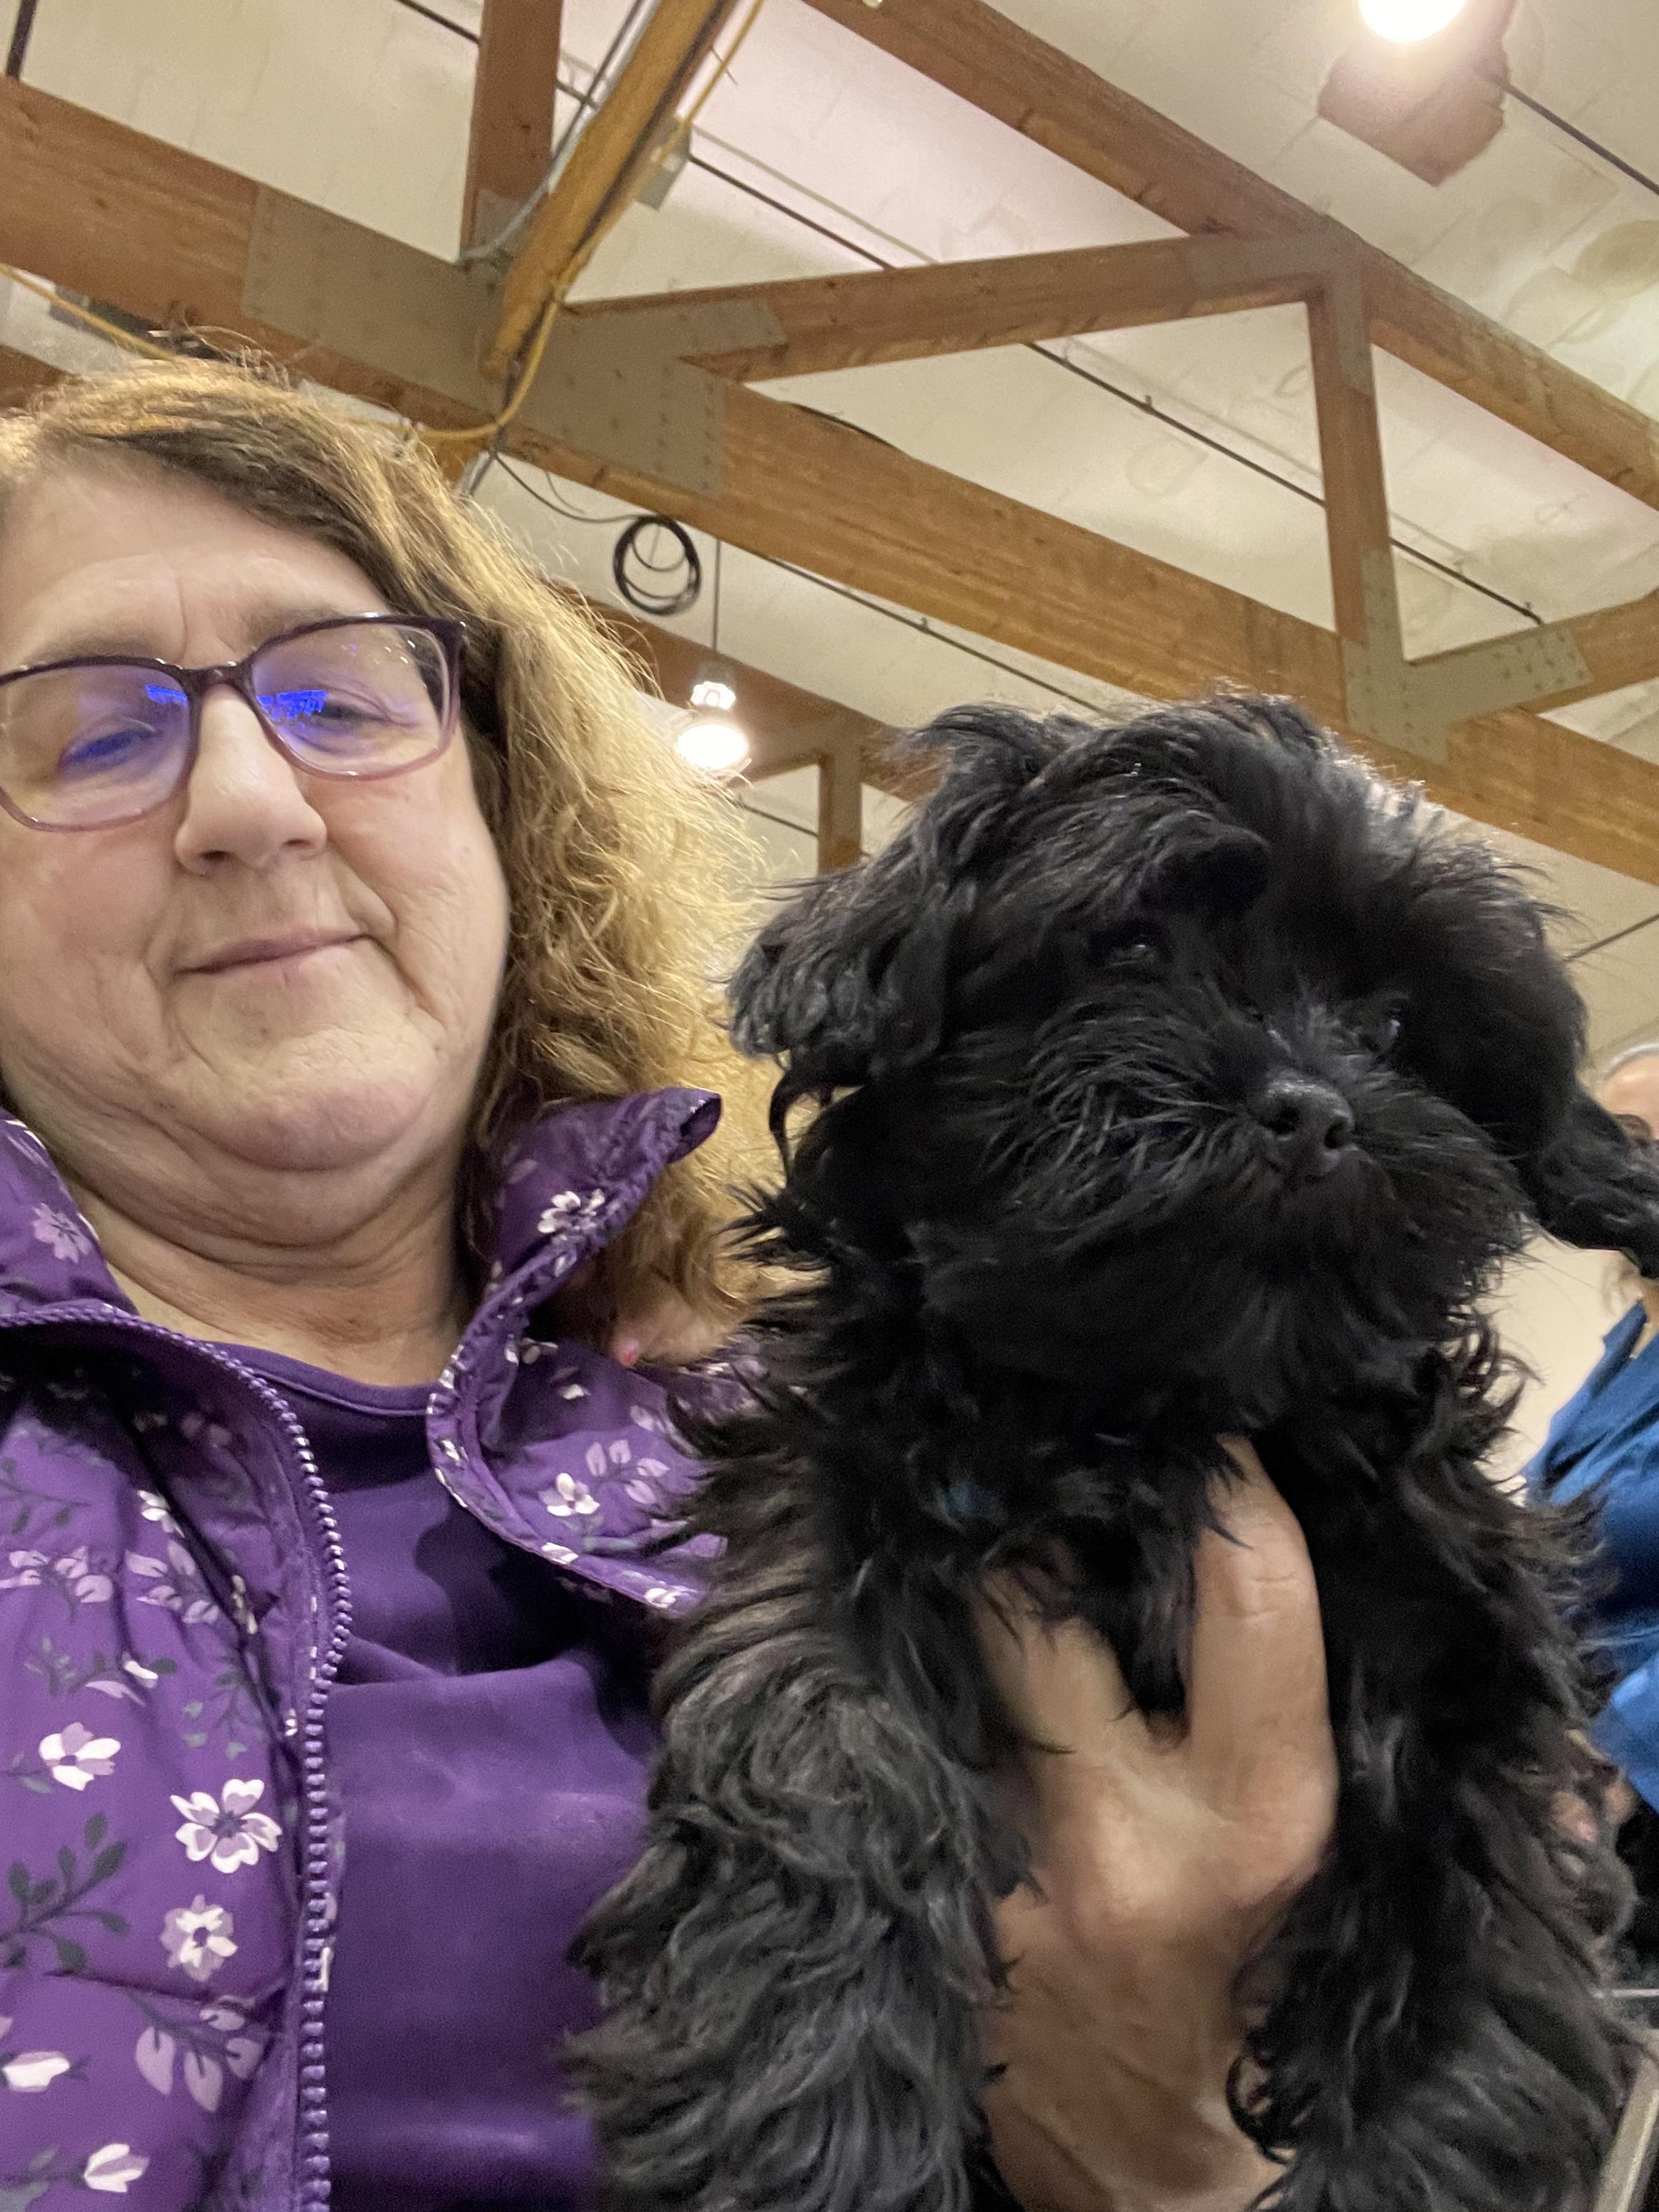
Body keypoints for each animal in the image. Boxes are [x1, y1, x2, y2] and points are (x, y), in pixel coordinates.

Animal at [573, 694, 1653, 2212]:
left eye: (1395, 1025)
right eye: (1132, 946)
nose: (1312, 1105)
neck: (1142, 1406)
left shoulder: (1466, 1666)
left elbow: (1470, 1989)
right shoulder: (830, 1519)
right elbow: (820, 1759)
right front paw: (801, 2131)